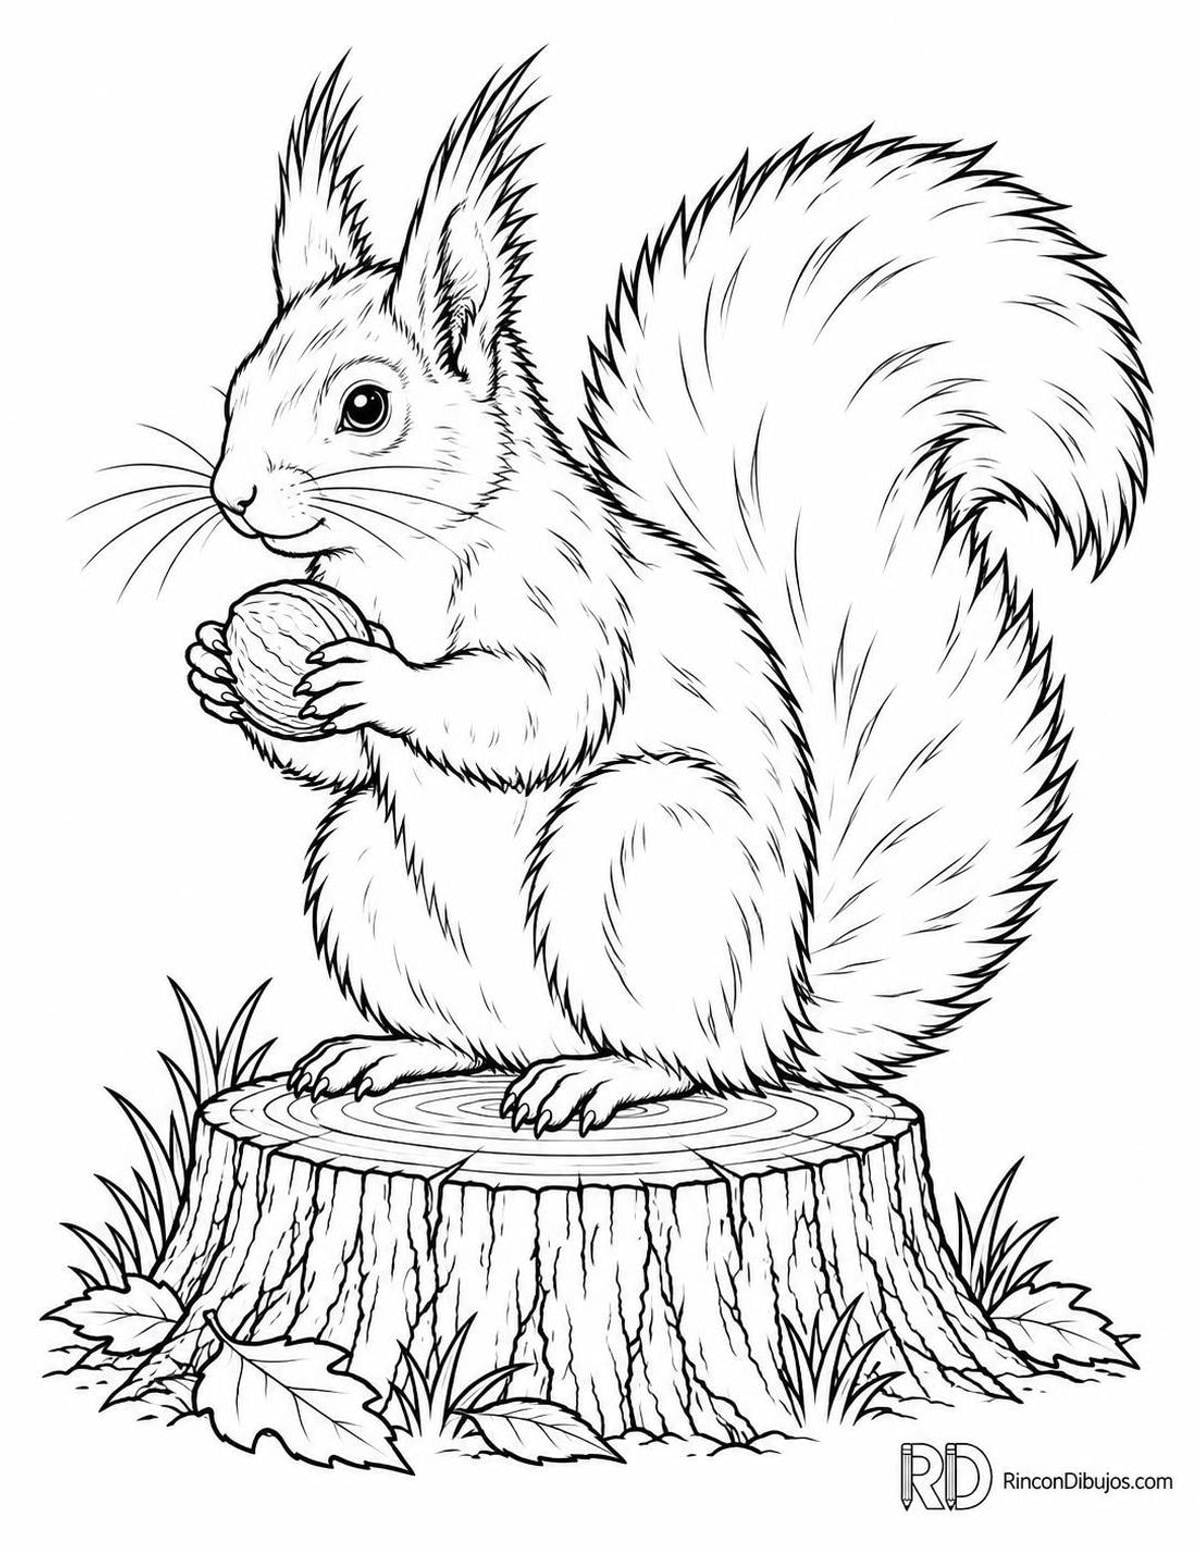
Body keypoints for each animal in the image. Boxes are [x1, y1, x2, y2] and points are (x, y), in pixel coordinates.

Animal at [186, 59, 1150, 1133]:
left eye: (366, 407)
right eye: (237, 389)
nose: (233, 495)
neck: (402, 557)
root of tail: (777, 1020)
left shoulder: (570, 596)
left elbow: (534, 708)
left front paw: (368, 674)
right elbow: (345, 765)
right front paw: (221, 671)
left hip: (634, 846)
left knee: (688, 1058)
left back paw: (601, 1075)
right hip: (364, 874)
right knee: (472, 1030)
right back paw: (390, 1049)